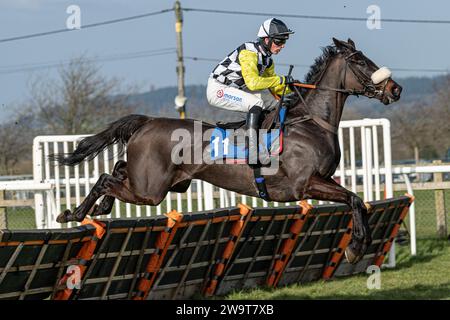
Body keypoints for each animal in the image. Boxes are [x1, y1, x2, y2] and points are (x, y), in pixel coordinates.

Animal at [51, 37, 400, 264]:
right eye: (359, 61)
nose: (395, 89)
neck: (312, 122)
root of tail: (148, 121)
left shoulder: (323, 180)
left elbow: (359, 202)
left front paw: (360, 243)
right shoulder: (305, 183)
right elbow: (355, 200)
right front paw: (356, 247)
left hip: (162, 182)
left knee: (118, 170)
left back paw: (95, 209)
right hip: (150, 191)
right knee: (106, 179)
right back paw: (75, 212)